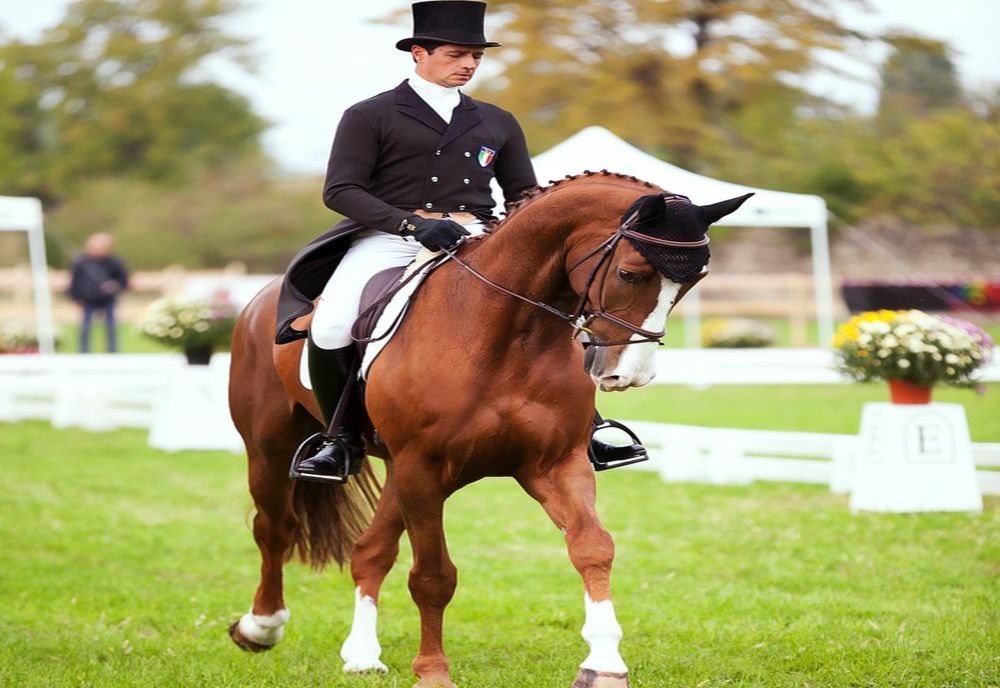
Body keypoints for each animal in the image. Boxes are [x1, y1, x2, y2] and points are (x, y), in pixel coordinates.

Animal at [227, 171, 752, 688]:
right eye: (630, 273)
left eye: (693, 282)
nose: (628, 374)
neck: (507, 332)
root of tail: (261, 299)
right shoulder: (423, 466)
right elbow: (433, 576)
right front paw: (433, 673)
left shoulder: (555, 463)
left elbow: (592, 547)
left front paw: (604, 664)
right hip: (276, 450)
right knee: (274, 528)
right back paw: (261, 627)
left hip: (404, 472)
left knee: (369, 550)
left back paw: (361, 655)